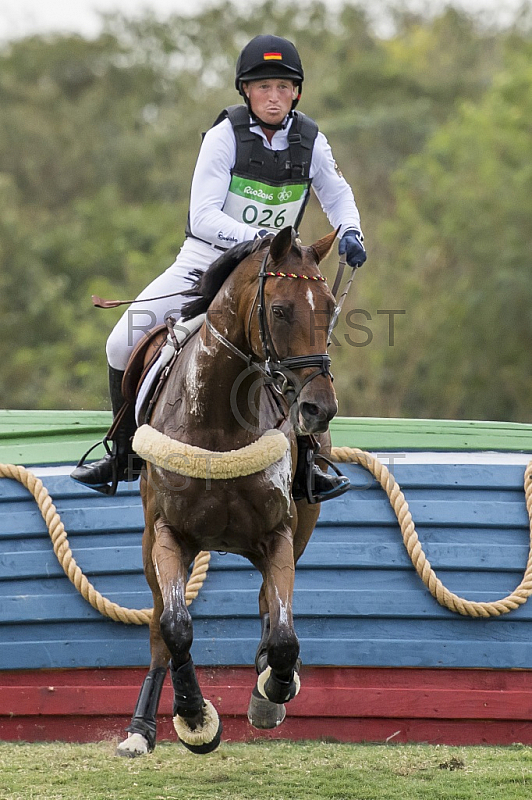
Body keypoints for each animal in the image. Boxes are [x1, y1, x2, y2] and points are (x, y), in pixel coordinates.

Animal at [118, 223, 338, 756]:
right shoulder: (167, 535)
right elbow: (175, 627)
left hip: (299, 530)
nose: (320, 409)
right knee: (158, 625)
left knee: (268, 609)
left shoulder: (278, 535)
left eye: (330, 308)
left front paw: (272, 691)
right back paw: (140, 728)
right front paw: (195, 717)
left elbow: (283, 635)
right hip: (150, 544)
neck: (219, 417)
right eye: (279, 310)